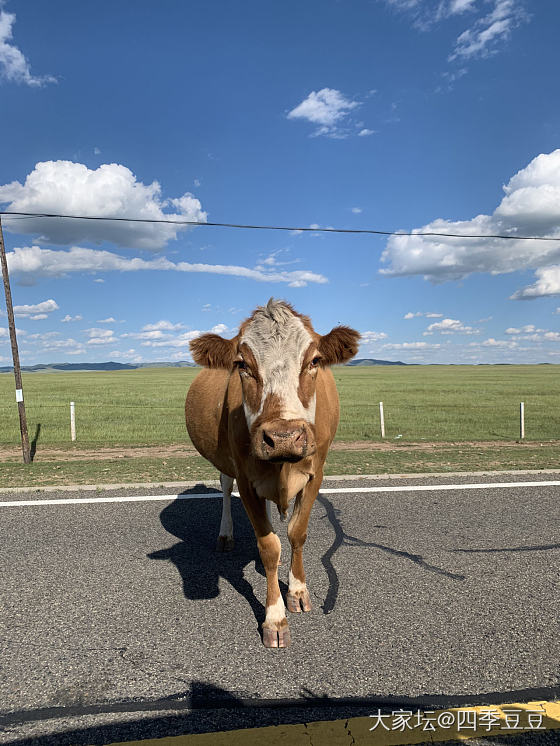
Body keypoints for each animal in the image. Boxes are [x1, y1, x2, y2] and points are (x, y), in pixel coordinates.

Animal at [184, 296, 358, 644]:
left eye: (314, 361)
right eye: (242, 365)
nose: (283, 437)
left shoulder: (315, 474)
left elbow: (296, 533)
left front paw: (298, 592)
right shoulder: (246, 479)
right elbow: (268, 546)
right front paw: (274, 619)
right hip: (229, 467)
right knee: (225, 487)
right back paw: (226, 535)